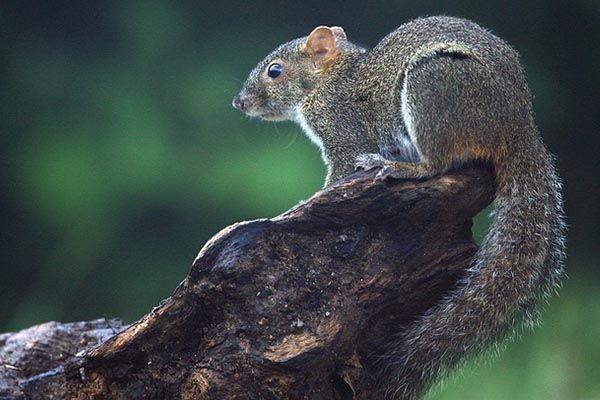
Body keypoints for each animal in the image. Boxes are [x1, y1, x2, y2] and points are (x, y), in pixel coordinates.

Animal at [232, 16, 564, 400]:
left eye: (275, 71)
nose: (238, 102)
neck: (331, 80)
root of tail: (519, 127)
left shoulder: (345, 135)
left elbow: (337, 177)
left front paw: (301, 207)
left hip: (432, 87)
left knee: (437, 163)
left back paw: (398, 166)